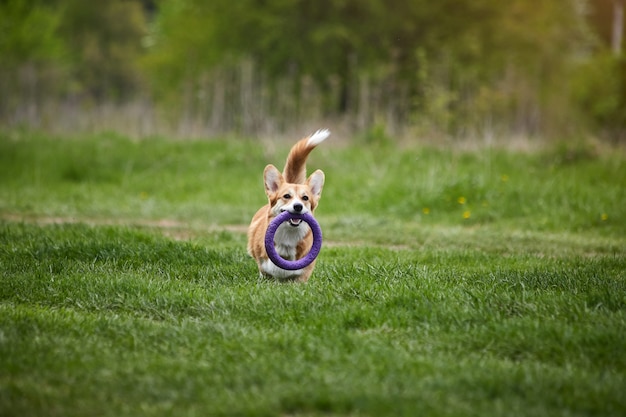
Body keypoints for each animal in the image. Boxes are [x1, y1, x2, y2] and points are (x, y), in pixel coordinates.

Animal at [246, 128, 330, 282]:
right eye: (286, 196)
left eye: (305, 198)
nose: (298, 206)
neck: (288, 236)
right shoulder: (264, 269)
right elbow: (266, 273)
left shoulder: (303, 274)